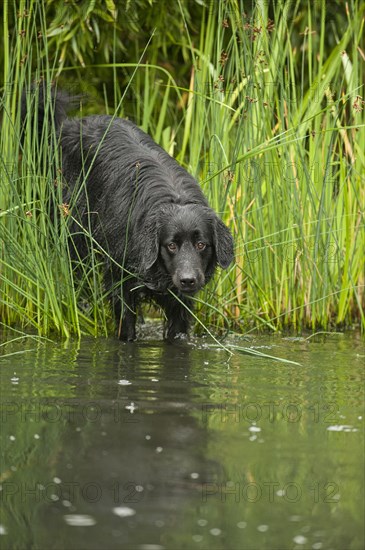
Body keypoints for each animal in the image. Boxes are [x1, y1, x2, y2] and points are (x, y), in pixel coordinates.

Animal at [22, 87, 233, 340]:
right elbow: (125, 323)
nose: (188, 280)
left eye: (201, 245)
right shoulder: (119, 277)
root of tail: (70, 125)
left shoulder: (179, 300)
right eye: (171, 245)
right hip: (75, 237)